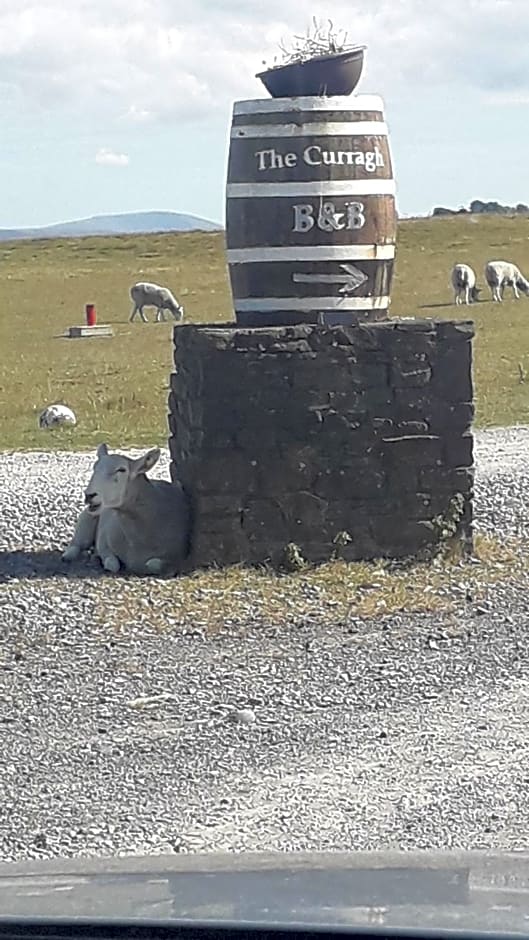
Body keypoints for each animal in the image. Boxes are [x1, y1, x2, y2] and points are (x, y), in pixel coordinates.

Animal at [62, 444, 190, 576]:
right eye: (94, 468)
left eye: (122, 470)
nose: (89, 495)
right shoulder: (103, 539)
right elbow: (112, 564)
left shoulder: (178, 558)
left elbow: (153, 564)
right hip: (86, 519)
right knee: (77, 544)